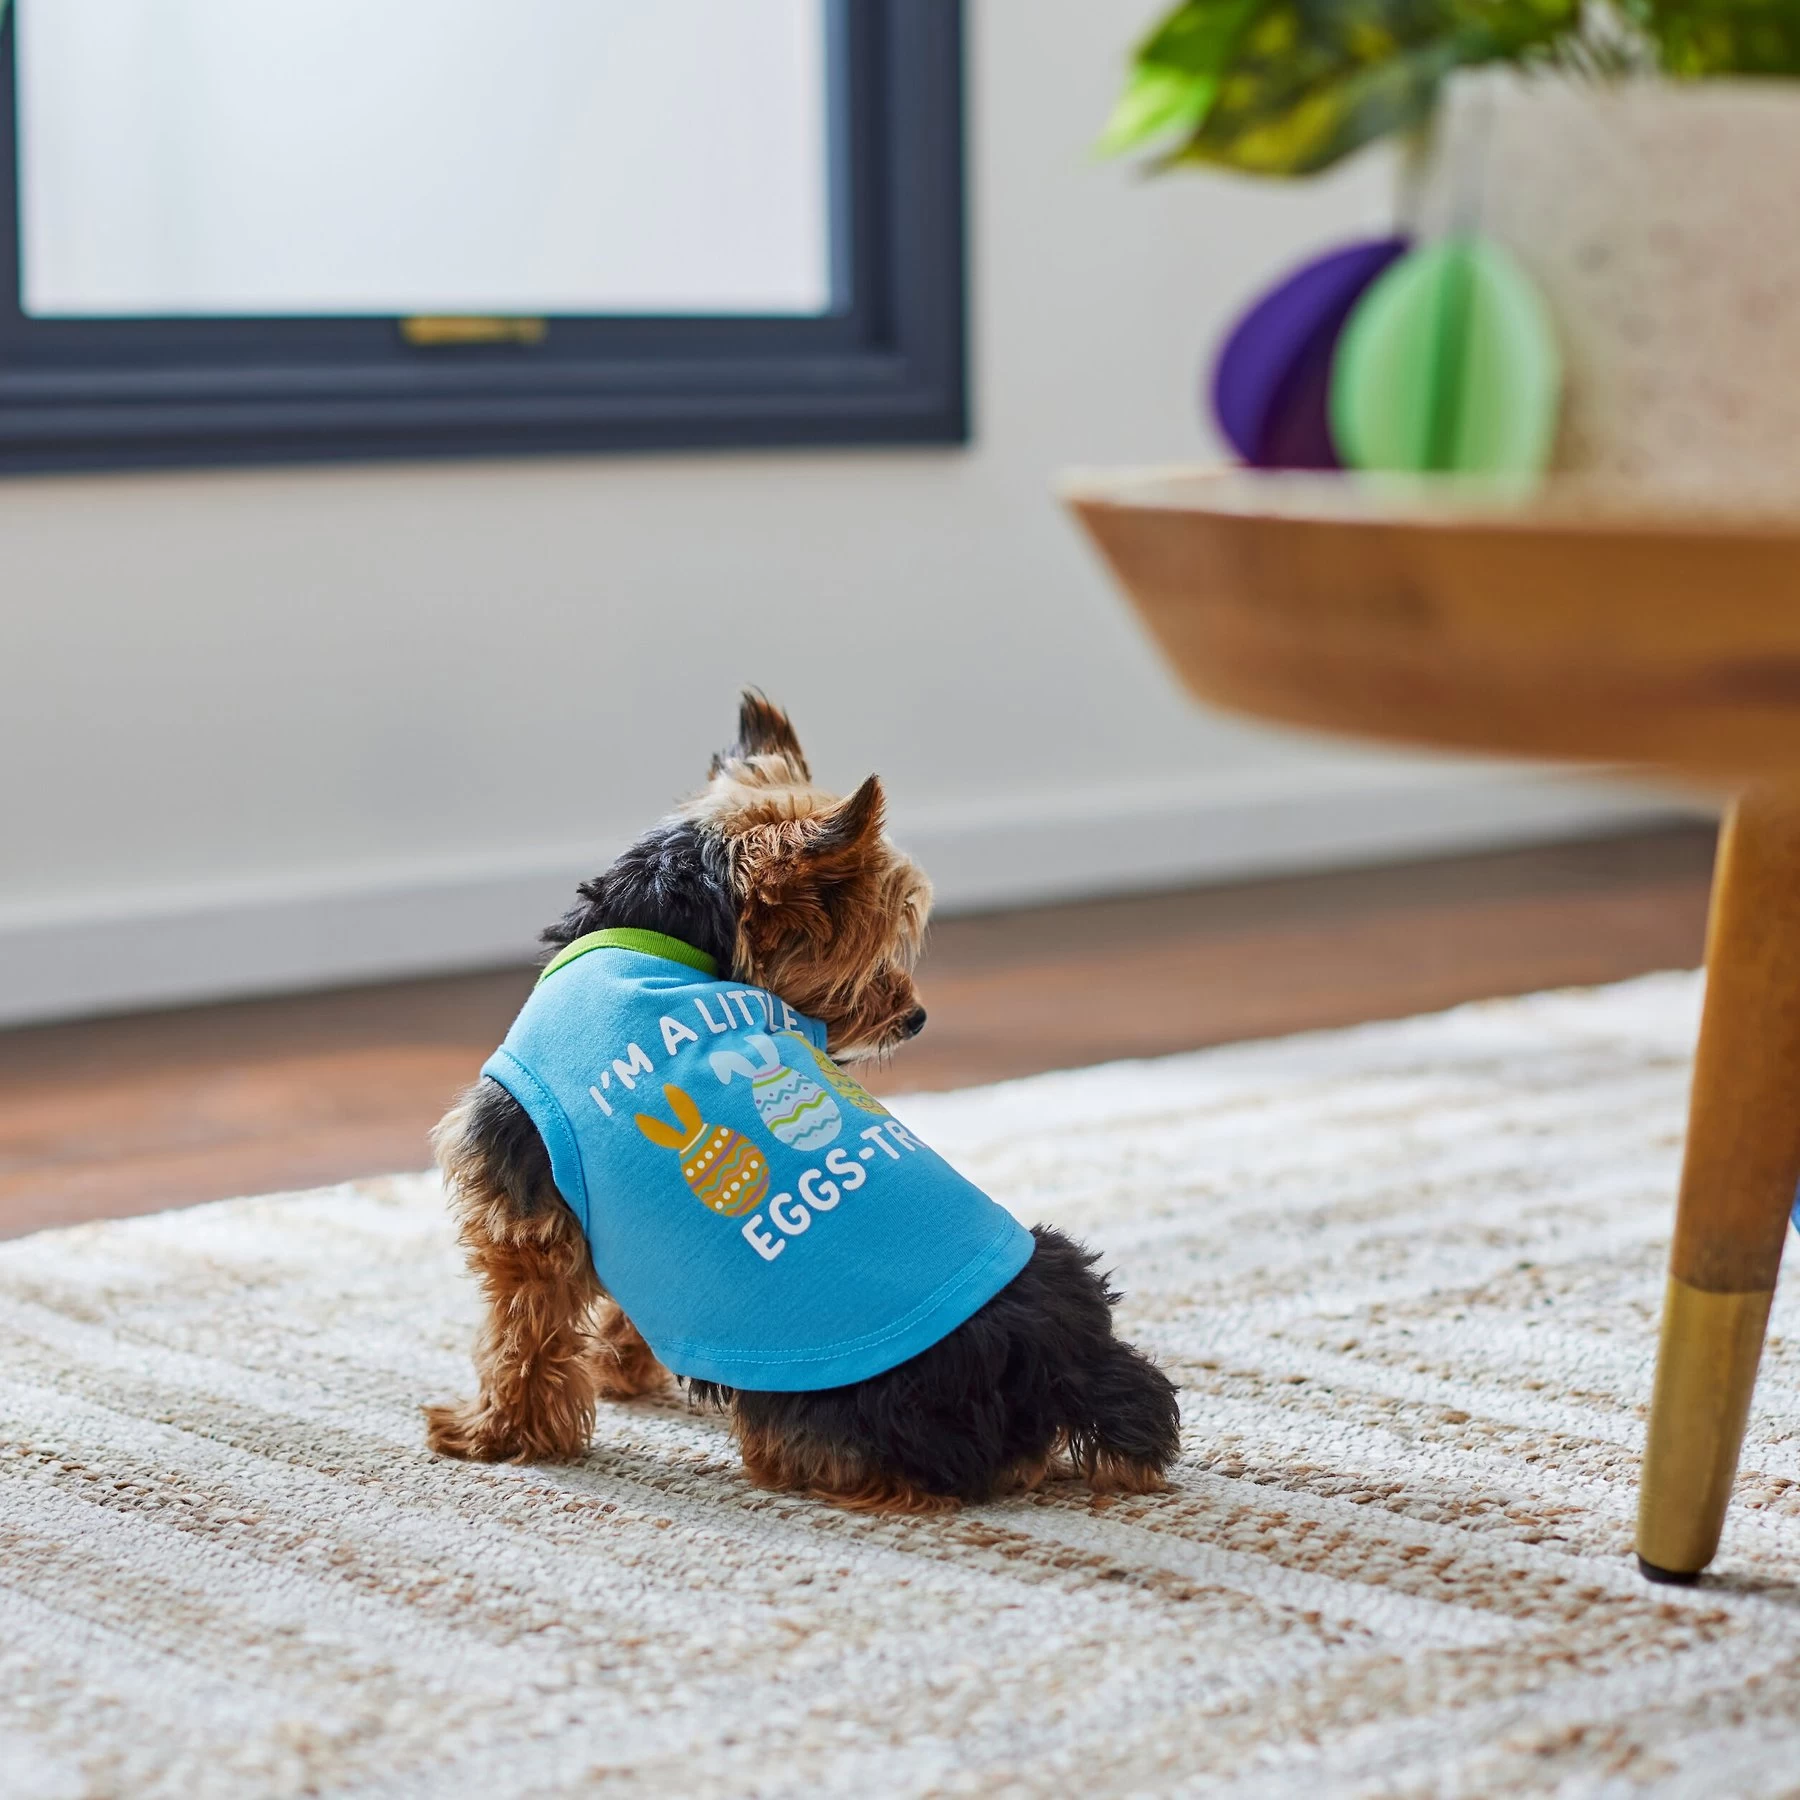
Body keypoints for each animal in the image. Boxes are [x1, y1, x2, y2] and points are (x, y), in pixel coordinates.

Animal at [426, 692, 1181, 1512]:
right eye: (866, 948)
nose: (914, 1016)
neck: (660, 935)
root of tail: (1059, 1362)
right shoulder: (629, 1226)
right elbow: (626, 1303)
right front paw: (619, 1373)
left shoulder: (526, 1215)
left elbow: (520, 1339)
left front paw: (494, 1435)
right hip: (1056, 1255)